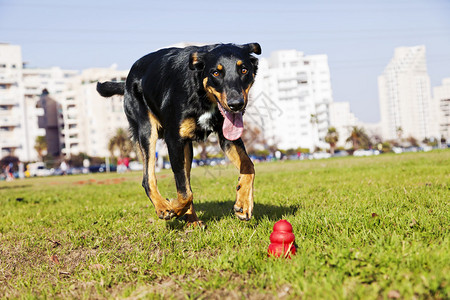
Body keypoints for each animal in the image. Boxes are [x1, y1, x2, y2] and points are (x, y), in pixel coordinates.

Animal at [96, 41, 262, 225]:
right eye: (216, 73)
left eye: (244, 70)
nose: (236, 104)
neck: (201, 93)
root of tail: (126, 81)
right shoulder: (173, 139)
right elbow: (184, 192)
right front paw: (173, 207)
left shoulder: (226, 136)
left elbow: (249, 165)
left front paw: (243, 203)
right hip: (147, 131)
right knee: (149, 178)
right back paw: (163, 207)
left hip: (186, 148)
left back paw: (192, 220)